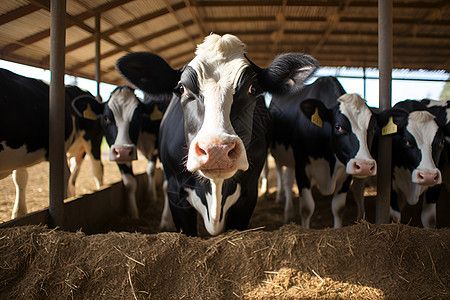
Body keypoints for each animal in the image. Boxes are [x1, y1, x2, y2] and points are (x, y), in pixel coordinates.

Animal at [73, 85, 170, 219]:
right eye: (106, 118)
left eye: (138, 117)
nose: (123, 151)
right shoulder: (116, 151)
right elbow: (130, 182)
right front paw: (133, 214)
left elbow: (165, 182)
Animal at [268, 77, 378, 227]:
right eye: (338, 127)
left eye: (373, 128)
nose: (365, 166)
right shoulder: (302, 167)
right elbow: (307, 208)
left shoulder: (346, 171)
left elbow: (338, 208)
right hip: (280, 157)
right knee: (283, 177)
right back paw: (283, 206)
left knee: (288, 180)